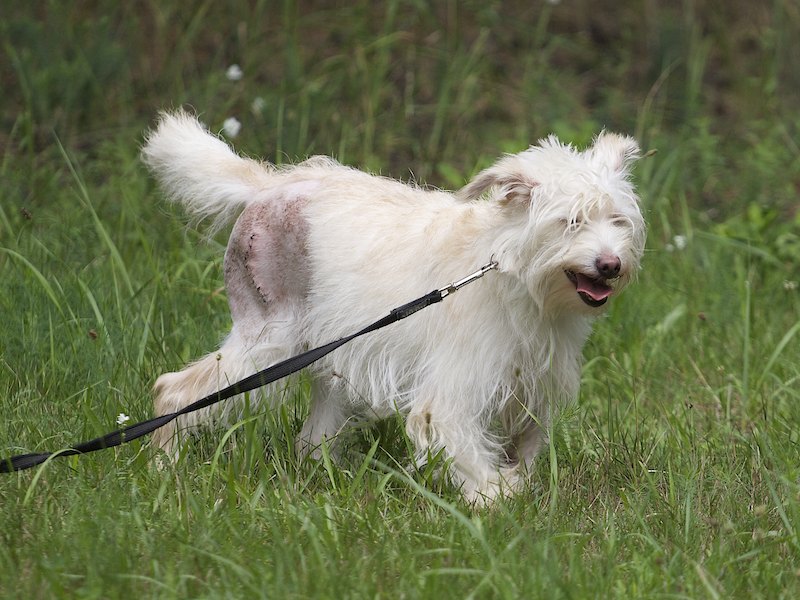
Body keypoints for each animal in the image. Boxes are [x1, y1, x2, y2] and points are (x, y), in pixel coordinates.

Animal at [142, 110, 646, 504]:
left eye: (617, 221)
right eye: (570, 222)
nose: (611, 265)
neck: (509, 273)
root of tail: (272, 185)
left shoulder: (531, 390)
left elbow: (526, 448)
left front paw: (520, 485)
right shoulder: (448, 397)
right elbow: (468, 456)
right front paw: (498, 499)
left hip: (326, 356)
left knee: (310, 440)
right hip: (268, 346)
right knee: (173, 392)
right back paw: (165, 468)